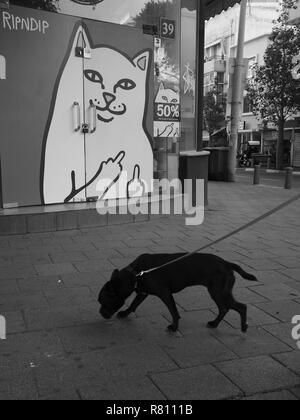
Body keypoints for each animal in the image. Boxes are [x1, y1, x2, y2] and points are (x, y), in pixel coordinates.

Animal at [98, 254, 258, 334]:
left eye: (104, 302)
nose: (100, 313)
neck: (136, 273)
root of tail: (226, 263)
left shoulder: (165, 294)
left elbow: (173, 311)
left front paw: (174, 327)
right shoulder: (143, 292)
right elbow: (133, 305)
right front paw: (125, 313)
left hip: (218, 292)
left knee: (240, 307)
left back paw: (243, 327)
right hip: (218, 293)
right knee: (224, 308)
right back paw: (214, 323)